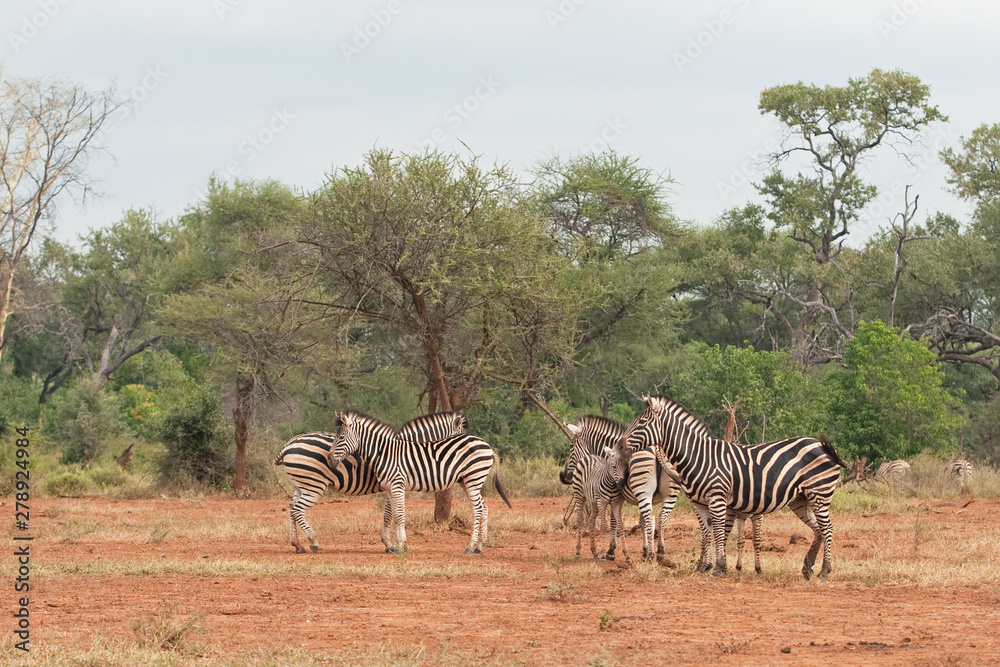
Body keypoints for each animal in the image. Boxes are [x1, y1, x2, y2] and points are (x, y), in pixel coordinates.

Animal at [274, 411, 467, 553]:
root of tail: (289, 444)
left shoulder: (391, 485)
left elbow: (388, 514)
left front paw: (389, 543)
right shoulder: (393, 484)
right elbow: (390, 514)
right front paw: (391, 545)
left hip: (300, 485)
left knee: (291, 509)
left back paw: (298, 545)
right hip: (313, 485)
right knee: (297, 510)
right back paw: (313, 541)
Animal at [328, 409, 512, 554]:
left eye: (341, 437)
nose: (329, 459)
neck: (384, 453)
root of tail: (487, 446)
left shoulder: (396, 485)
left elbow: (398, 514)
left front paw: (401, 545)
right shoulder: (389, 487)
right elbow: (392, 514)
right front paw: (394, 545)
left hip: (473, 480)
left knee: (478, 510)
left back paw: (471, 547)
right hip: (468, 481)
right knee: (483, 508)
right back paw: (479, 546)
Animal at [620, 394, 848, 580]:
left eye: (642, 422)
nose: (620, 446)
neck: (699, 457)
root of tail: (822, 446)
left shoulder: (717, 499)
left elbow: (719, 533)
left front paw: (718, 567)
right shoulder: (699, 503)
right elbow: (707, 534)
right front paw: (706, 566)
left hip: (820, 493)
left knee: (827, 528)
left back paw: (824, 571)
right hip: (801, 499)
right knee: (818, 529)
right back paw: (807, 567)